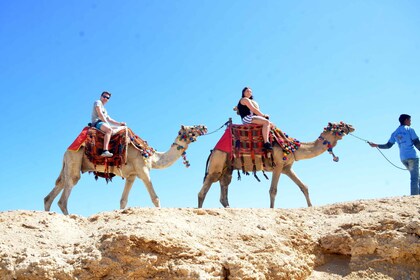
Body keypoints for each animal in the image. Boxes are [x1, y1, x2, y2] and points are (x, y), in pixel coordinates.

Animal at [44, 124, 207, 214]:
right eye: (192, 127)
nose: (204, 126)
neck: (152, 156)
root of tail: (66, 150)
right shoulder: (143, 170)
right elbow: (155, 198)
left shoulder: (131, 175)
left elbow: (123, 200)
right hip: (75, 158)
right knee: (66, 192)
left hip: (70, 163)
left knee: (57, 186)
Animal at [198, 122, 354, 208]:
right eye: (339, 125)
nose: (352, 126)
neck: (292, 146)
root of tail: (213, 150)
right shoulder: (278, 165)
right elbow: (273, 190)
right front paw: (272, 209)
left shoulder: (287, 168)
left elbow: (304, 187)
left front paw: (310, 206)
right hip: (217, 163)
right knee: (204, 190)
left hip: (227, 168)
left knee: (223, 191)